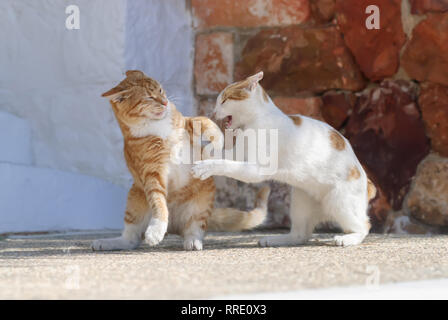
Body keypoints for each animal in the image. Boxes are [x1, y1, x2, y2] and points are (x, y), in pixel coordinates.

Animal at [191, 72, 376, 248]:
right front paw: (199, 150)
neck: (251, 124)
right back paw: (274, 240)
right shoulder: (237, 154)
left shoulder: (255, 170)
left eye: (224, 100)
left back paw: (348, 239)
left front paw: (205, 167)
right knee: (300, 235)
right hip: (300, 202)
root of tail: (367, 182)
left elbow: (225, 164)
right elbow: (219, 155)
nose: (212, 113)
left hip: (340, 202)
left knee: (364, 226)